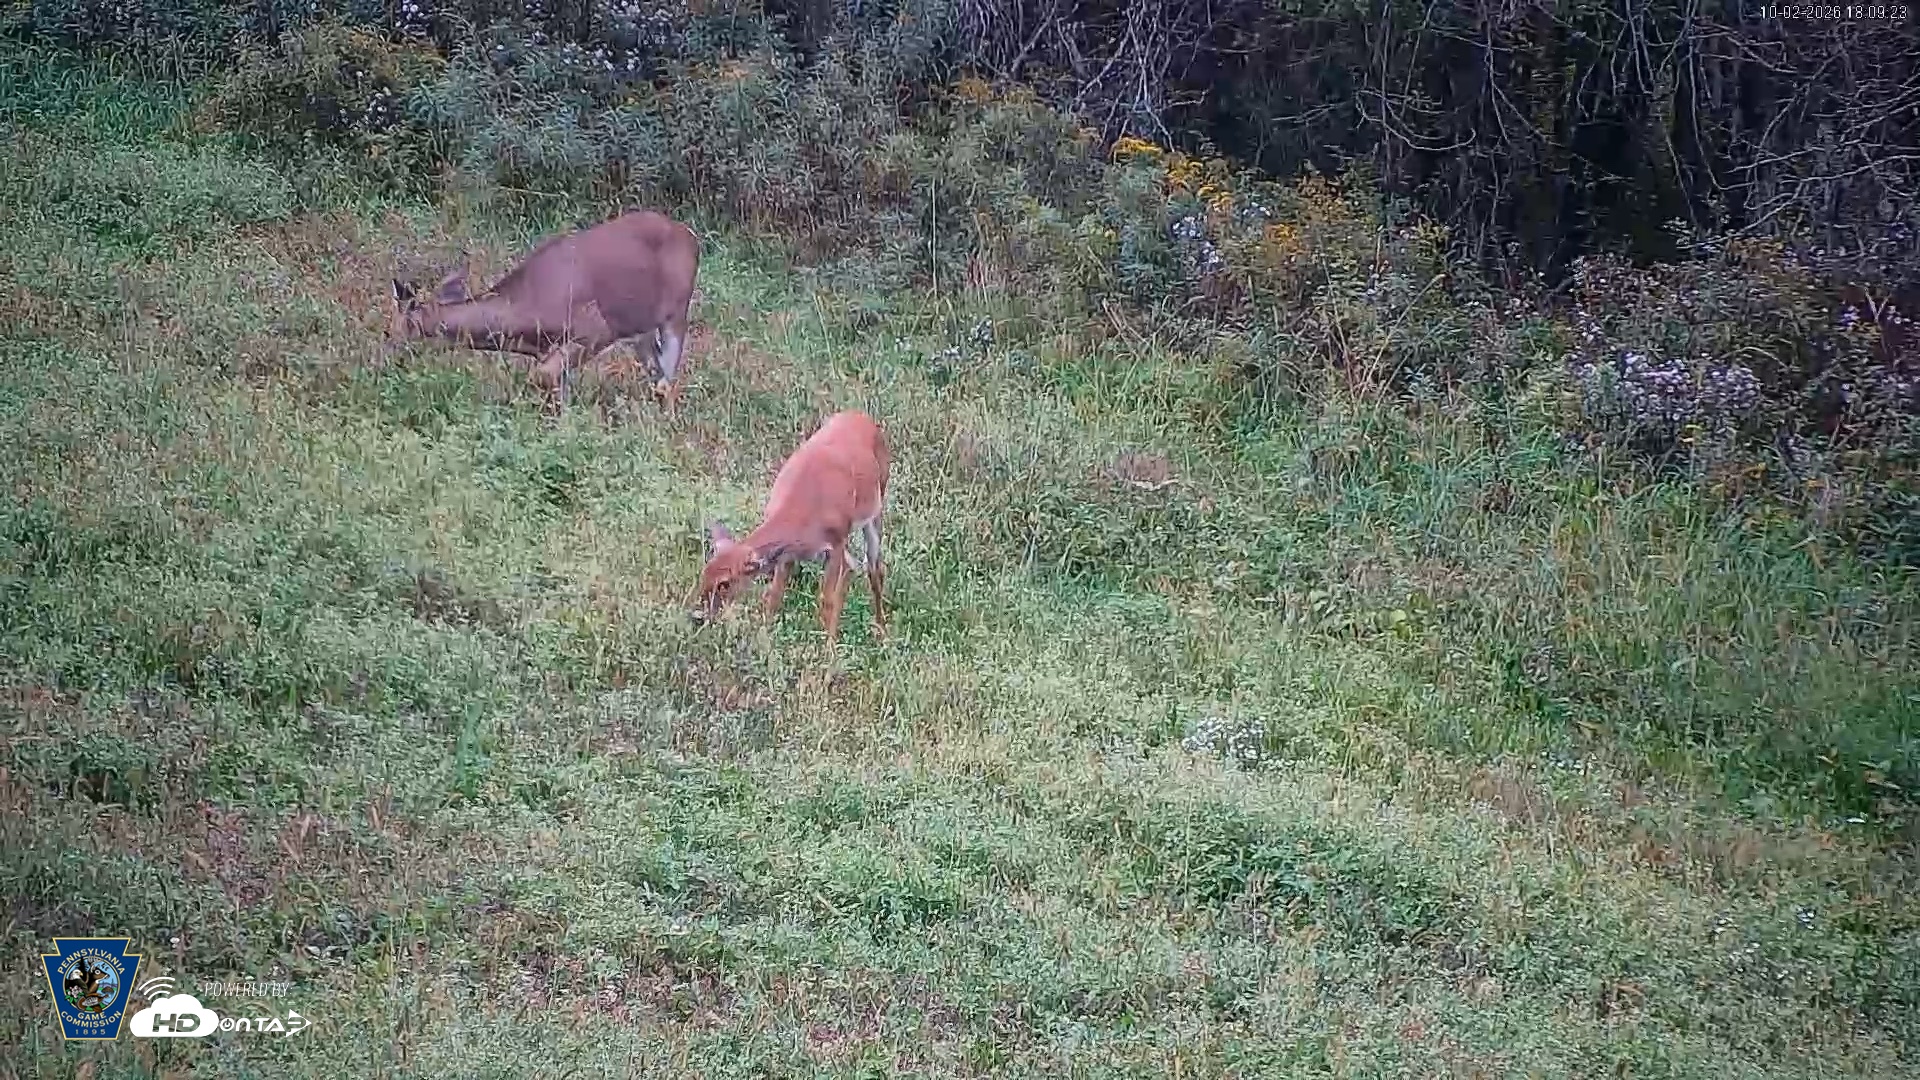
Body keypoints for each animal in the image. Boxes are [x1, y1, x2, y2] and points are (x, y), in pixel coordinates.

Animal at [387, 209, 700, 413]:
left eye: (394, 332)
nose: (387, 360)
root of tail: (689, 233)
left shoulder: (595, 330)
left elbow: (542, 377)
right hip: (640, 330)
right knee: (657, 373)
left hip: (676, 313)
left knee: (667, 378)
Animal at [691, 410, 891, 648]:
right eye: (703, 574)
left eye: (725, 583)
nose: (698, 617)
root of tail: (862, 416)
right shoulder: (788, 554)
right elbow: (774, 596)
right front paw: (765, 641)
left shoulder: (836, 541)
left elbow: (828, 600)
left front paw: (829, 650)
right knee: (854, 566)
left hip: (875, 508)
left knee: (874, 569)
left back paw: (882, 633)